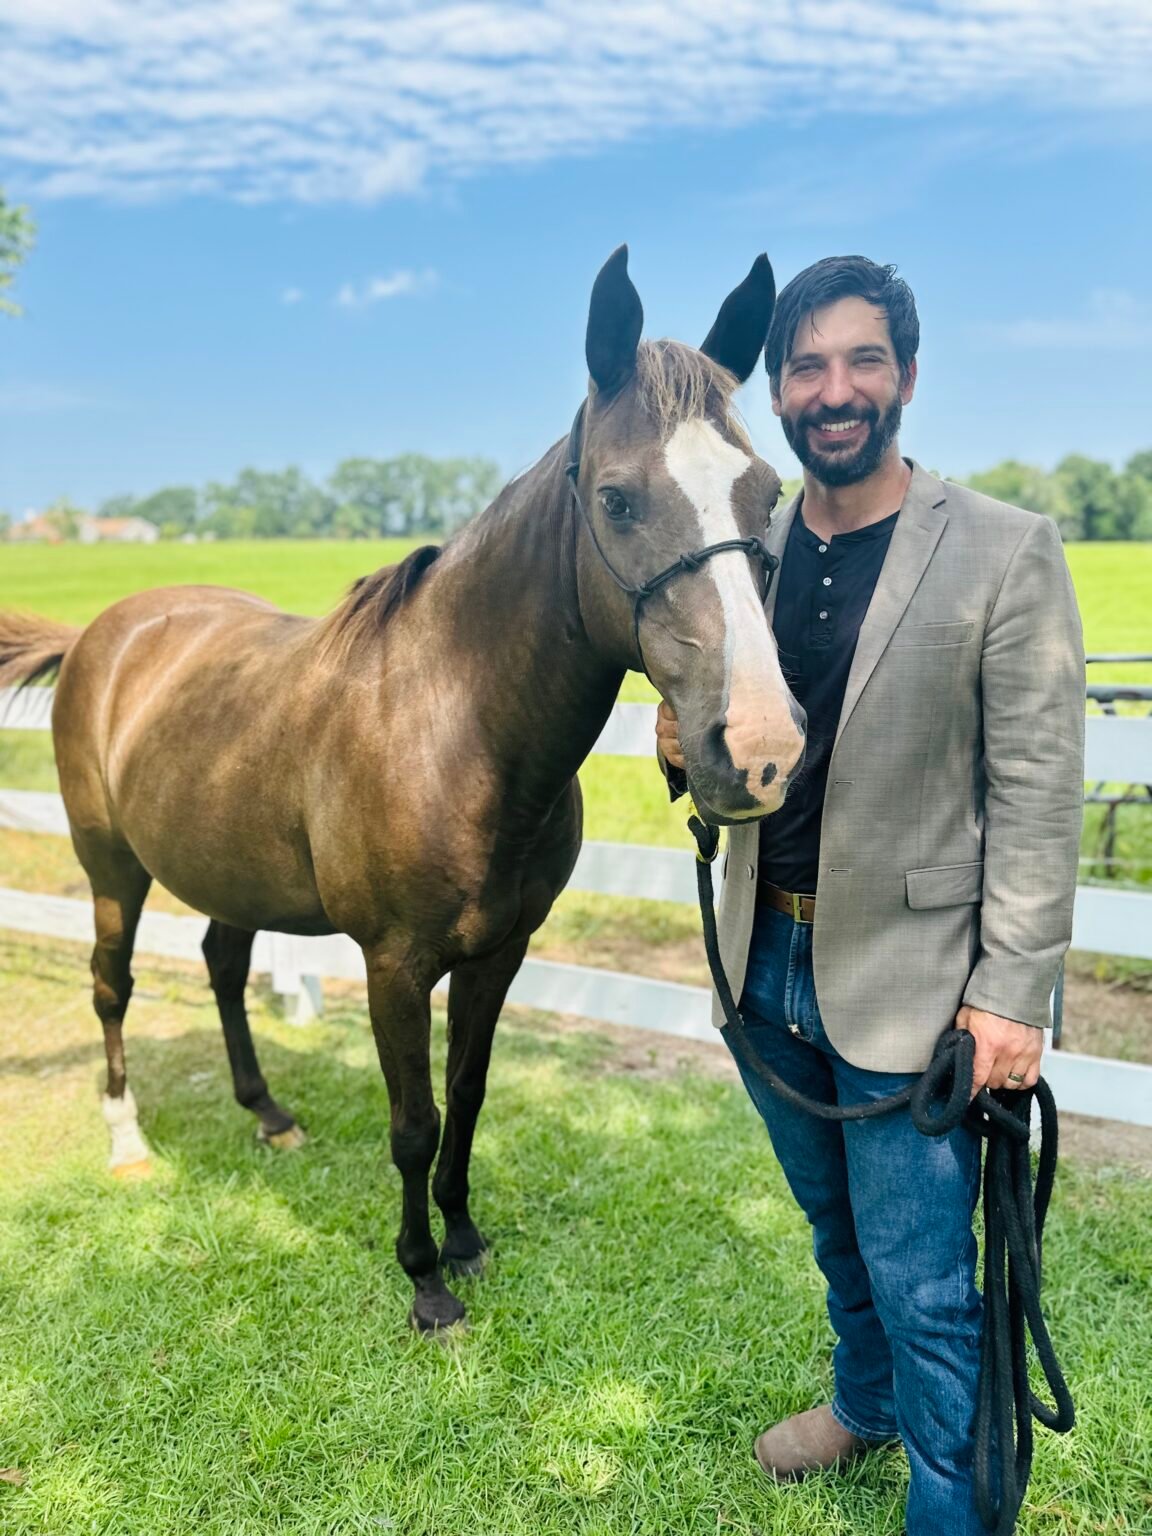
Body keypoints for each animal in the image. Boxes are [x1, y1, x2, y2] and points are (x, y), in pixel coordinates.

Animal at [0, 247, 806, 1330]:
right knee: (111, 985)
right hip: (111, 870)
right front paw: (425, 1281)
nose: (760, 750)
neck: (455, 727)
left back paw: (268, 1115)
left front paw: (463, 1237)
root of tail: (102, 634)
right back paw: (128, 1142)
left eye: (767, 491)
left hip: (225, 870)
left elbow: (467, 1095)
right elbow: (413, 1121)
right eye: (617, 499)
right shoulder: (393, 965)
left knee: (221, 966)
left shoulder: (500, 953)